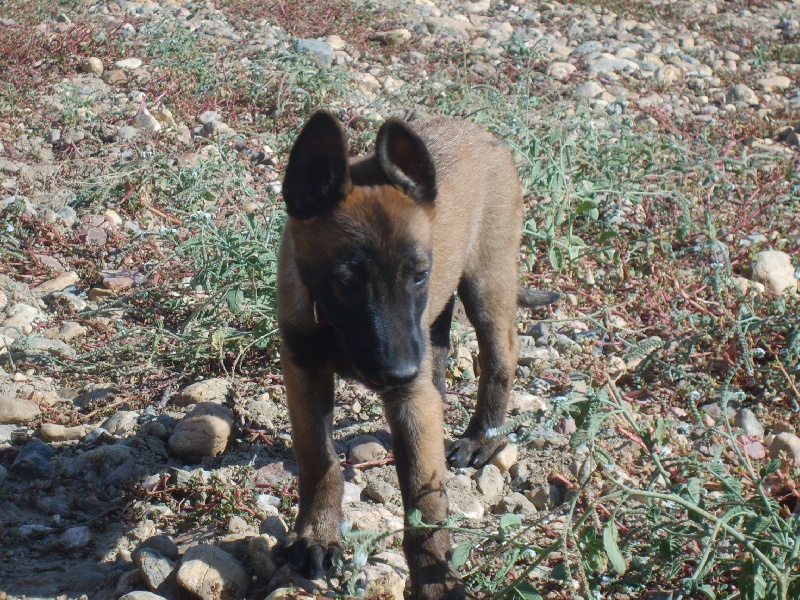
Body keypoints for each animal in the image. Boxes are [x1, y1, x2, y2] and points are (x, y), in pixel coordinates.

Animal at [276, 110, 556, 596]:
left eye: (418, 274)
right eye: (347, 281)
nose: (400, 372)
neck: (333, 328)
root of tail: (483, 133)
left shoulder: (409, 396)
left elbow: (425, 507)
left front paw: (436, 578)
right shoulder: (304, 373)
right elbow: (319, 461)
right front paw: (317, 534)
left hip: (486, 280)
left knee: (501, 354)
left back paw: (482, 436)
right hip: (437, 317)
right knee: (439, 355)